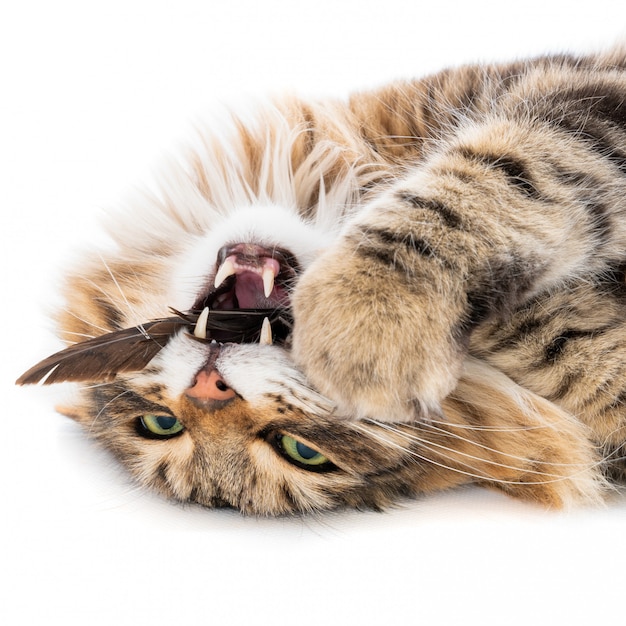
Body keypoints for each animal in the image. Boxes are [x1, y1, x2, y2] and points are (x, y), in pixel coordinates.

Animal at [17, 48, 620, 516]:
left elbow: (501, 178)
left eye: (299, 452)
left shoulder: (575, 102)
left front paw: (368, 321)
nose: (208, 388)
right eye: (161, 424)